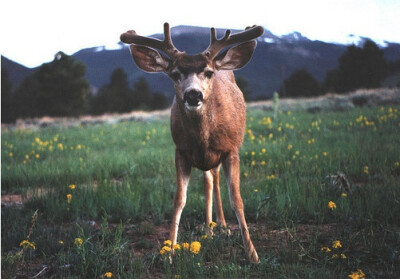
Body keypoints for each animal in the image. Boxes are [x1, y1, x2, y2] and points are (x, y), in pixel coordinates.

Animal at [120, 22, 264, 264]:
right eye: (175, 74)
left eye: (208, 72)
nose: (193, 94)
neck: (203, 137)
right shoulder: (181, 152)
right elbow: (179, 200)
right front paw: (169, 252)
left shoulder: (231, 150)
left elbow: (237, 199)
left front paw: (253, 254)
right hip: (204, 159)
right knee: (209, 179)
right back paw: (209, 229)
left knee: (215, 179)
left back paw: (222, 225)